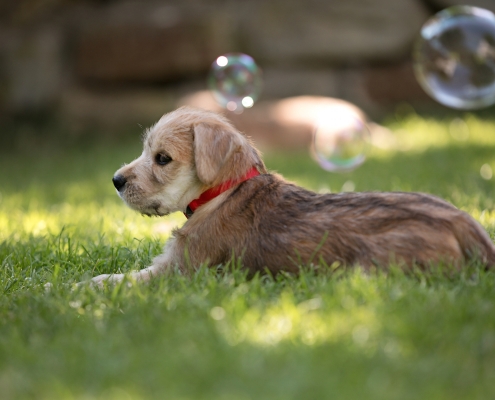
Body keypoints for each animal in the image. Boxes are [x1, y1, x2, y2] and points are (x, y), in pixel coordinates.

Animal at [89, 106, 495, 286]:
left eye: (162, 158)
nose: (115, 180)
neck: (224, 191)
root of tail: (464, 223)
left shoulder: (177, 270)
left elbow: (118, 279)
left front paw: (77, 288)